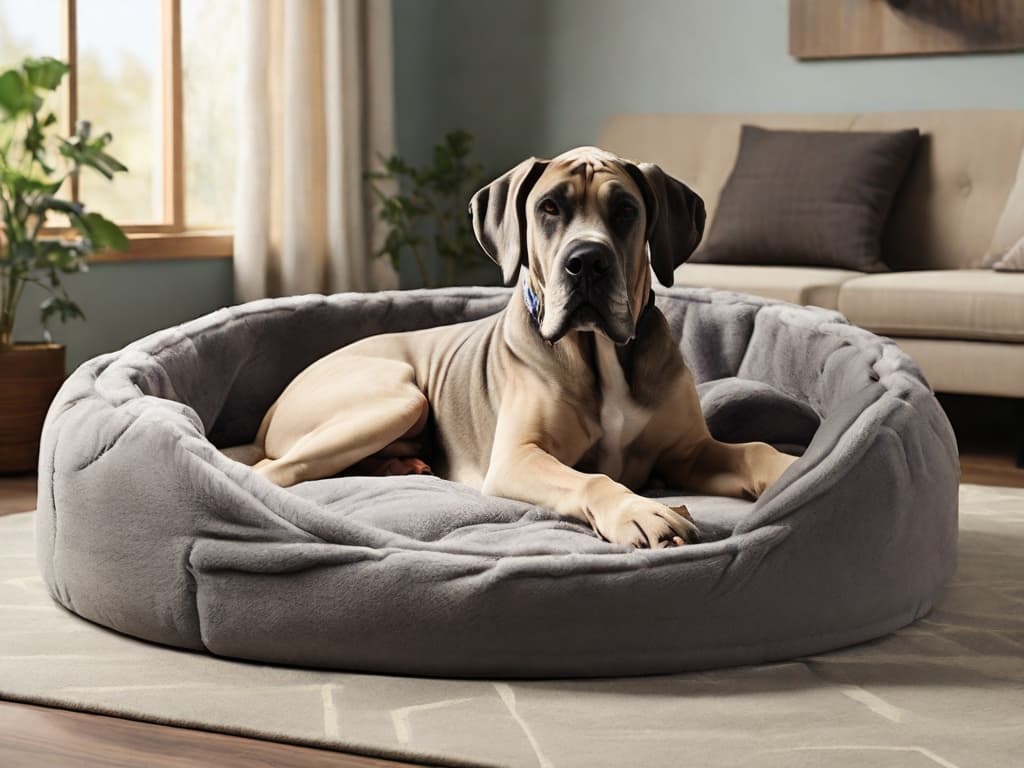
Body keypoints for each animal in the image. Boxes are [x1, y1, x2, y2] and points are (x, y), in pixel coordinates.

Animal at [241, 147, 798, 548]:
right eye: (549, 208)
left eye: (625, 210)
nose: (587, 261)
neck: (598, 351)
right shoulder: (518, 458)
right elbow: (592, 478)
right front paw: (638, 511)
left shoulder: (687, 452)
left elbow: (754, 448)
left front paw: (796, 472)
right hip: (395, 400)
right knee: (271, 472)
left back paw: (403, 466)